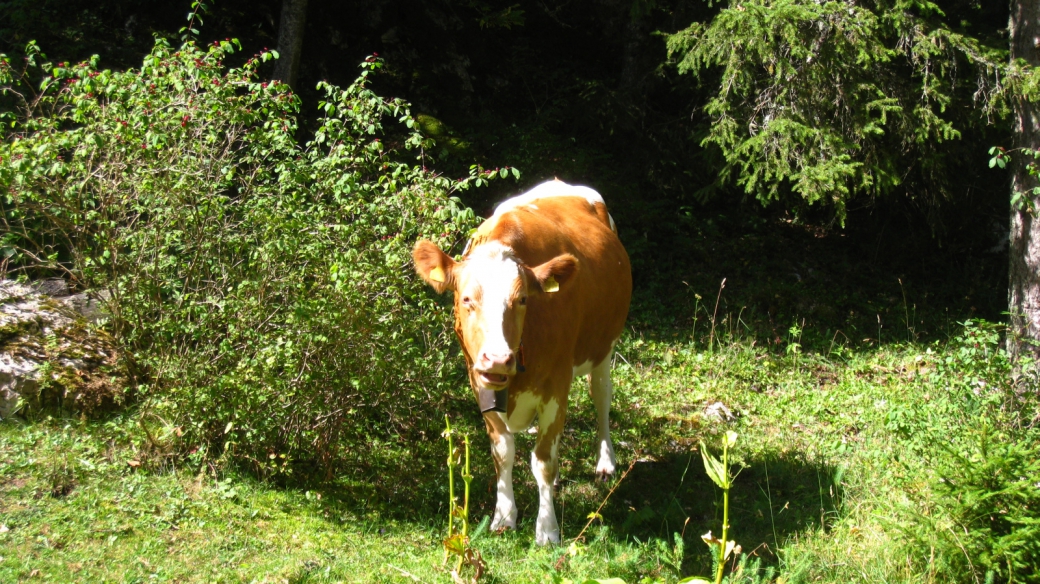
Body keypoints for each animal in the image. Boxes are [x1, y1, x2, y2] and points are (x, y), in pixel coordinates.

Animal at [413, 179, 632, 544]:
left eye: (523, 300)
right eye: (466, 298)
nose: (499, 358)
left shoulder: (557, 383)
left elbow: (543, 461)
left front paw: (547, 530)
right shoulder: (479, 380)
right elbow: (503, 453)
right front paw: (504, 516)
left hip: (604, 346)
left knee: (601, 396)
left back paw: (606, 462)